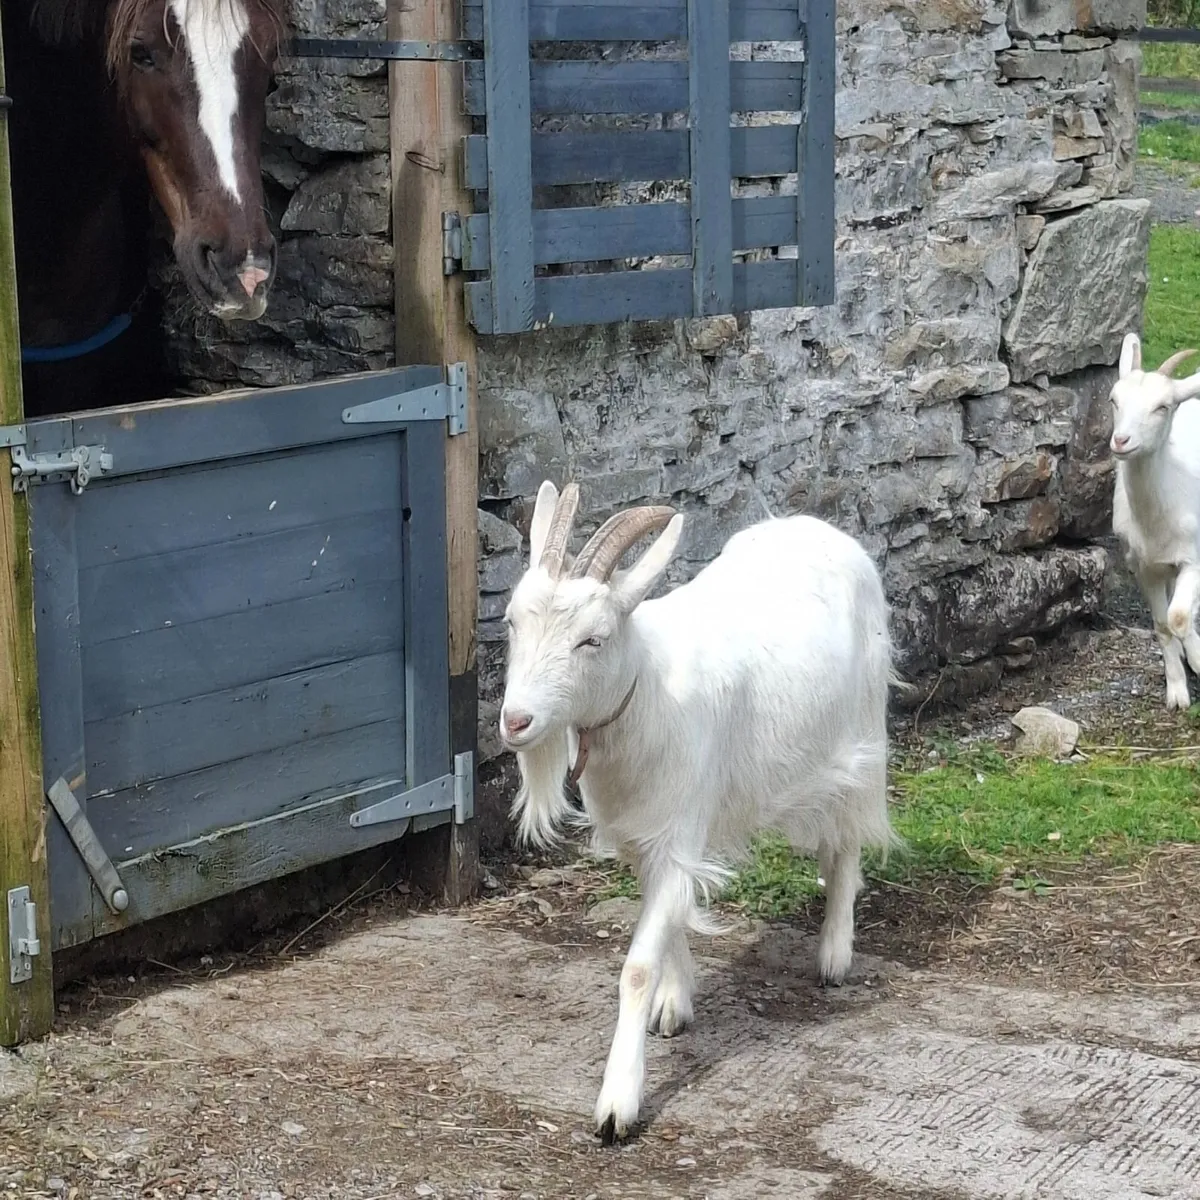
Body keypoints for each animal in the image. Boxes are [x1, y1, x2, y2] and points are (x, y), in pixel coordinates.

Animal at [499, 481, 897, 1143]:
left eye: (592, 639)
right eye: (511, 622)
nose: (516, 721)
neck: (647, 689)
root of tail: (821, 529)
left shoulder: (679, 825)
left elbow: (636, 965)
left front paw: (618, 1105)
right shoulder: (650, 834)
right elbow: (667, 916)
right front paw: (674, 1003)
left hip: (860, 734)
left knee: (845, 839)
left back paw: (834, 954)